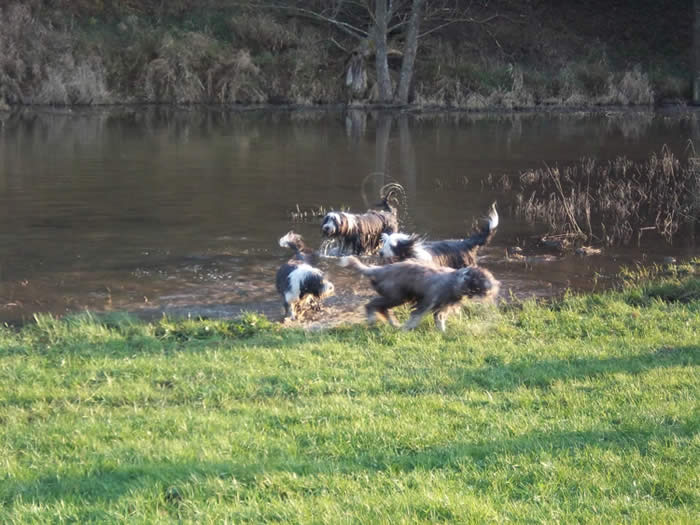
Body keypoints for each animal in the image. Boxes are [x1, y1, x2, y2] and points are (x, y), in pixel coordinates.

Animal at [340, 256, 499, 331]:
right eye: (482, 279)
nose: (495, 285)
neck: (455, 282)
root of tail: (380, 269)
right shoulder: (425, 303)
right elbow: (415, 317)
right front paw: (406, 330)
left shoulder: (440, 309)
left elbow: (439, 322)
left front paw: (443, 333)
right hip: (395, 297)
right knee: (371, 304)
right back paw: (373, 319)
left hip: (396, 298)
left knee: (382, 309)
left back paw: (393, 323)